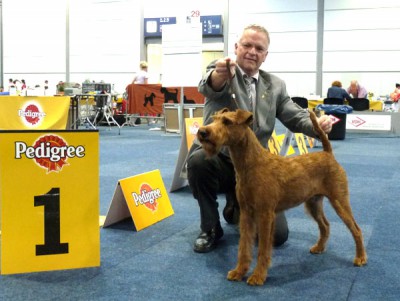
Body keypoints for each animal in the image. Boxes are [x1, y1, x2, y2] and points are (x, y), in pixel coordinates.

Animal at [195, 108, 368, 284]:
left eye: (227, 122)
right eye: (214, 119)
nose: (202, 132)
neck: (251, 165)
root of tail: (328, 154)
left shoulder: (265, 214)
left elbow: (263, 248)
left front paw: (258, 276)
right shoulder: (246, 213)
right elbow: (244, 246)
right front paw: (239, 271)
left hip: (339, 200)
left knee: (356, 229)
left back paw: (360, 258)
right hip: (313, 202)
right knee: (325, 225)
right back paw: (319, 248)